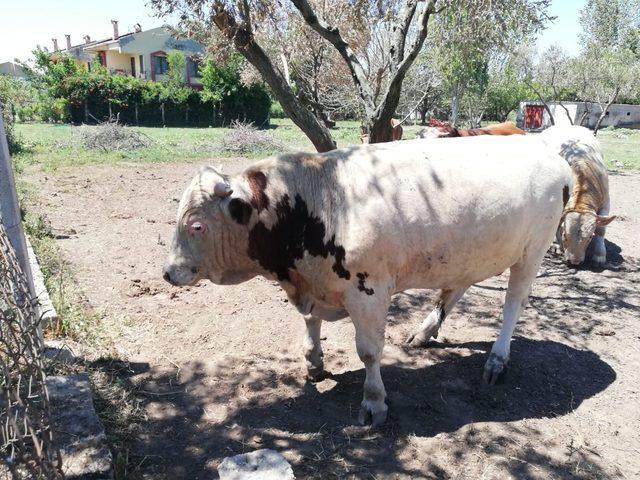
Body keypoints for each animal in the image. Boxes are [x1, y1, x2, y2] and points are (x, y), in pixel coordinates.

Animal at [162, 136, 572, 428]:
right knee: (456, 287)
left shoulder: (368, 291)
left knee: (514, 303)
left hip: (532, 251)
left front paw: (374, 402)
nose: (168, 272)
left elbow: (370, 352)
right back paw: (424, 332)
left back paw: (497, 360)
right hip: (469, 252)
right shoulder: (315, 284)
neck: (318, 202)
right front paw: (313, 361)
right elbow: (310, 322)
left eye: (196, 225)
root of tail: (548, 151)